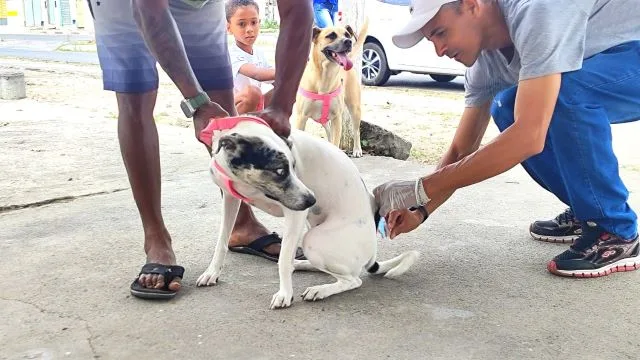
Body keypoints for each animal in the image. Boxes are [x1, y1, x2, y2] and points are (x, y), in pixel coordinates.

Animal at [195, 116, 418, 308]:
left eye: (294, 166)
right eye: (280, 170)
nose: (312, 200)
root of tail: (372, 254)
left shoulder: (296, 214)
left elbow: (283, 260)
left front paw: (285, 293)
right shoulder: (230, 199)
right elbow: (222, 243)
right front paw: (212, 272)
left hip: (313, 240)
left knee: (353, 280)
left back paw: (320, 290)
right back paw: (301, 264)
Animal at [292, 18, 368, 156]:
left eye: (347, 35)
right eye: (331, 36)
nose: (348, 41)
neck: (325, 76)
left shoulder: (337, 118)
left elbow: (336, 141)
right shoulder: (301, 117)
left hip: (354, 108)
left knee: (356, 130)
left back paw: (357, 149)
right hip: (325, 120)